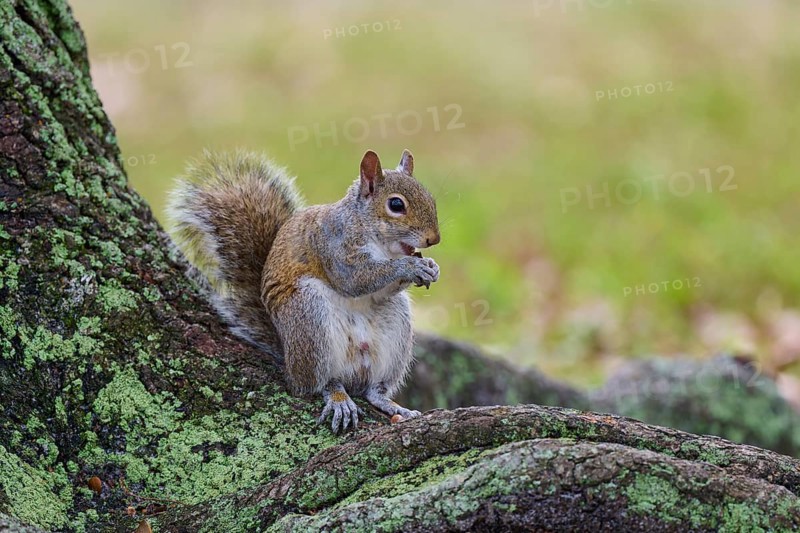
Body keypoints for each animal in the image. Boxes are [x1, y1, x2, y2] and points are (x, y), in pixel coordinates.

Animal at [167, 149, 441, 432]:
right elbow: (354, 280)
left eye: (429, 197)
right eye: (396, 205)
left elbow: (378, 291)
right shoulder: (332, 245)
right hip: (308, 316)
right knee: (316, 383)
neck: (373, 235)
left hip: (394, 330)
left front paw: (431, 268)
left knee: (372, 390)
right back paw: (338, 398)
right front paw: (410, 266)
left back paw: (391, 405)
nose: (434, 239)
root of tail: (289, 359)